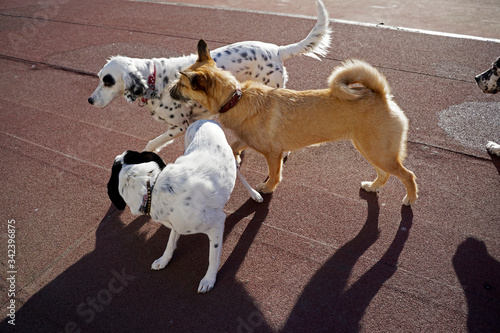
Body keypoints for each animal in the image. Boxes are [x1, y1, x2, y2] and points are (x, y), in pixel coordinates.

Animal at [90, 0, 332, 152]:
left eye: (108, 81)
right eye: (99, 77)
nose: (90, 100)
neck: (155, 80)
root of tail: (277, 49)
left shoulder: (179, 126)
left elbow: (150, 144)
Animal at [171, 40, 418, 204]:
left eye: (182, 85)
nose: (170, 91)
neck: (235, 98)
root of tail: (381, 95)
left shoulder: (273, 154)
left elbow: (275, 175)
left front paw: (266, 189)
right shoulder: (248, 139)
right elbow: (234, 145)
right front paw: (235, 158)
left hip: (378, 152)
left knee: (407, 175)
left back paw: (410, 199)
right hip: (370, 150)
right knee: (385, 174)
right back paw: (373, 187)